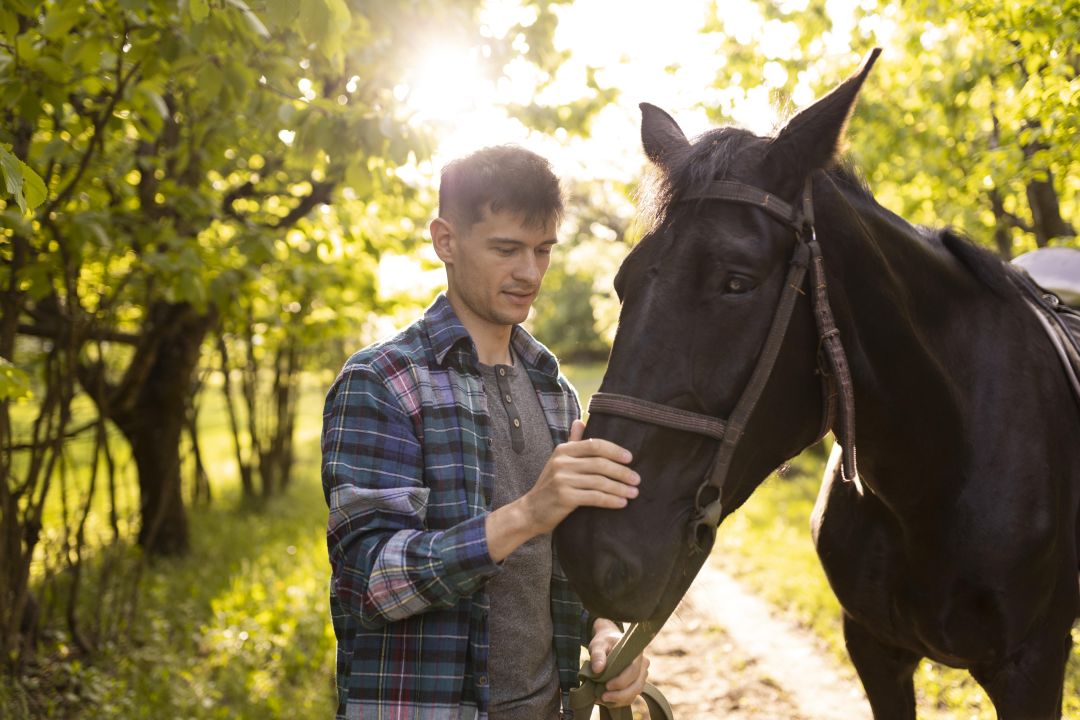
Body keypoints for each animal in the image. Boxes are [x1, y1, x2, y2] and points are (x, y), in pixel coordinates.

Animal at [553, 50, 1080, 719]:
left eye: (737, 281)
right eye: (624, 280)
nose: (587, 548)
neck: (939, 469)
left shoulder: (1030, 666)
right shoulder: (875, 650)